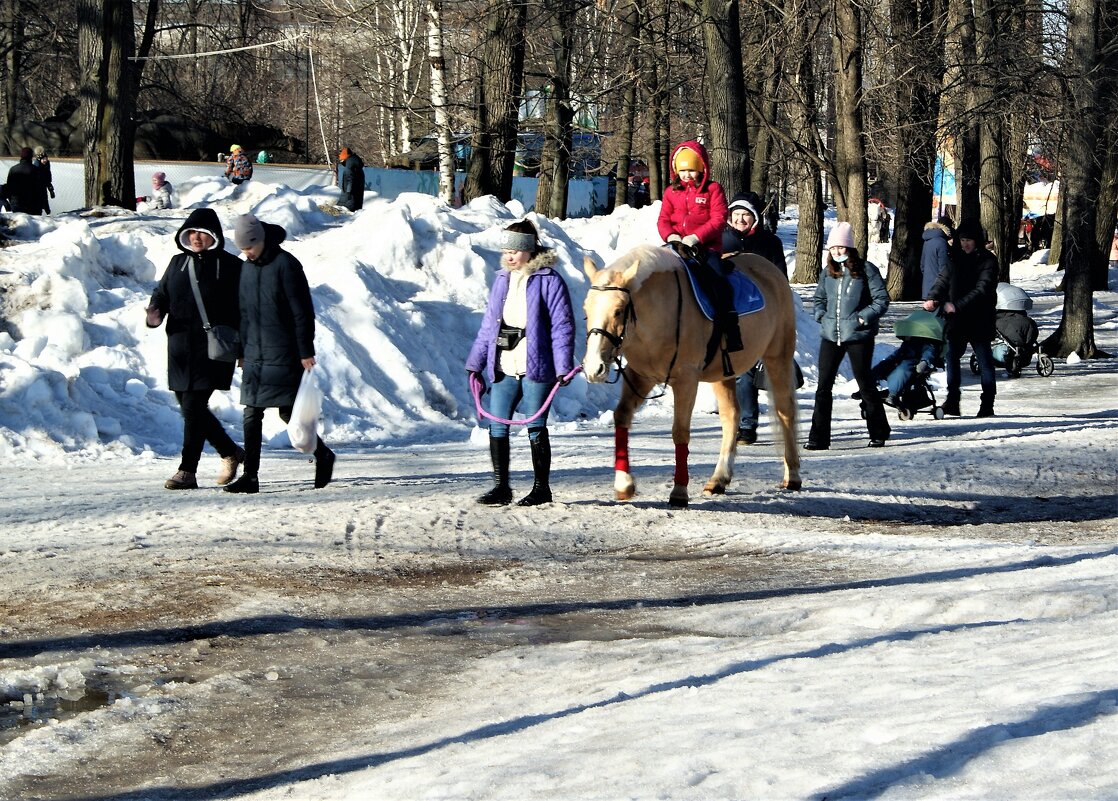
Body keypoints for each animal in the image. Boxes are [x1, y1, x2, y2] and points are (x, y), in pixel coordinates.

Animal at [581, 246, 800, 507]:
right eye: (586, 309)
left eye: (618, 311)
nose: (594, 368)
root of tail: (769, 269)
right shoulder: (640, 377)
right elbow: (622, 416)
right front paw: (624, 484)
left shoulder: (686, 381)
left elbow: (680, 432)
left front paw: (679, 491)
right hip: (723, 375)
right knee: (731, 416)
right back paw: (719, 478)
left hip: (778, 358)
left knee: (785, 412)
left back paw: (792, 476)